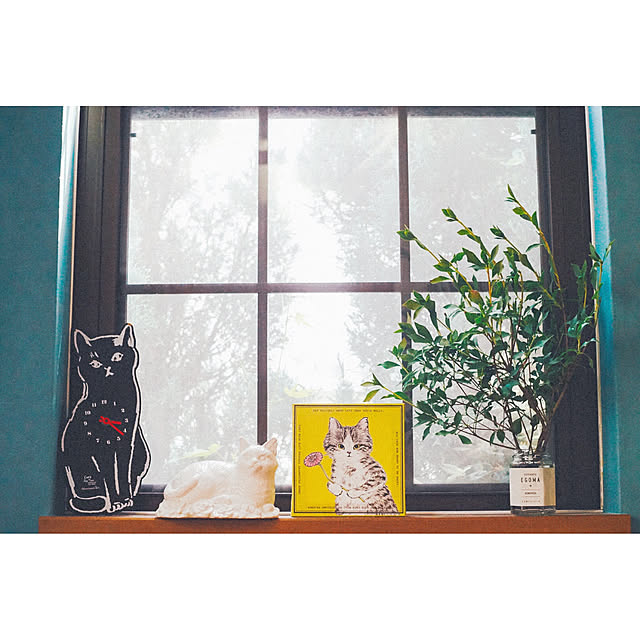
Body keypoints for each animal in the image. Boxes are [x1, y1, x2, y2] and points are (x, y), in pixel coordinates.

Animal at [60, 324, 150, 513]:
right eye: (94, 363)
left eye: (117, 356)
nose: (107, 369)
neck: (112, 397)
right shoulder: (101, 449)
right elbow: (110, 477)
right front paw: (116, 503)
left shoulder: (127, 441)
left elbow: (123, 475)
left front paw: (125, 500)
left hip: (142, 452)